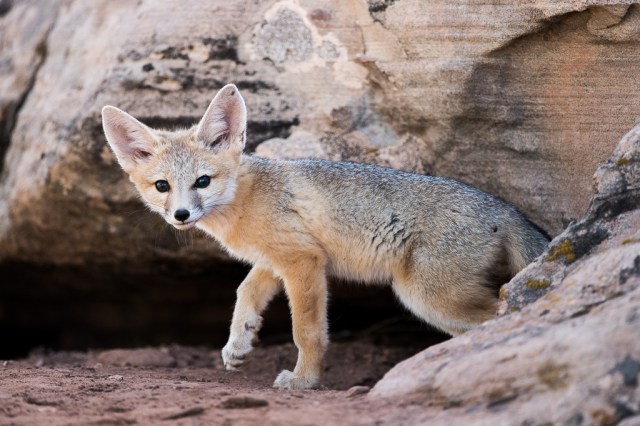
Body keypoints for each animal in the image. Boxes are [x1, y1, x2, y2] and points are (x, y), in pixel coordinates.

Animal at [101, 84, 549, 390]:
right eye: (162, 186)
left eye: (202, 181)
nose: (181, 215)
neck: (246, 197)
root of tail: (506, 208)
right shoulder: (273, 260)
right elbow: (245, 293)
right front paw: (238, 343)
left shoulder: (303, 262)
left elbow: (307, 332)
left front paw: (305, 380)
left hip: (427, 297)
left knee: (504, 311)